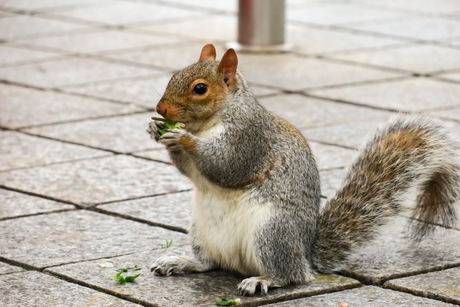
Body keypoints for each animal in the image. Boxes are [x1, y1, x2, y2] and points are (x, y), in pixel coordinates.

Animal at [147, 43, 460, 296]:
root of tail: (306, 257)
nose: (161, 110)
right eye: (173, 76)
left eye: (200, 88)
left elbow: (226, 165)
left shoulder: (249, 139)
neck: (211, 122)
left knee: (290, 277)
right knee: (209, 263)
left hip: (272, 233)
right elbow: (191, 171)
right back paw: (183, 262)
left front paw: (182, 137)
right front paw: (155, 129)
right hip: (201, 231)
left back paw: (262, 280)